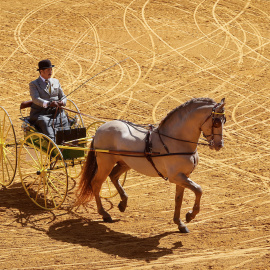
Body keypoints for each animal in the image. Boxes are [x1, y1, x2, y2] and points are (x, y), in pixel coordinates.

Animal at [76, 98, 226, 233]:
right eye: (216, 122)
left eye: (224, 120)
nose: (219, 145)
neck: (176, 141)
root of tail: (100, 129)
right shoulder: (176, 177)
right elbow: (199, 190)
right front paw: (190, 215)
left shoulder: (183, 176)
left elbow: (179, 199)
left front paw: (180, 223)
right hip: (105, 164)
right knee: (96, 183)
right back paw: (105, 214)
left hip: (125, 163)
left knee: (114, 176)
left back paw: (123, 203)